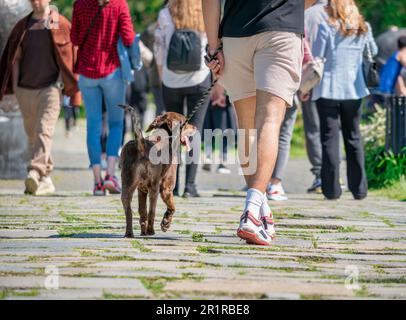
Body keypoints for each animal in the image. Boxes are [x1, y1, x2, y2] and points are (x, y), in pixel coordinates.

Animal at [119, 106, 197, 239]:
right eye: (186, 122)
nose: (195, 127)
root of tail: (141, 146)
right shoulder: (166, 188)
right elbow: (172, 207)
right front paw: (165, 223)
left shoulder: (141, 190)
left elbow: (142, 212)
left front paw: (143, 231)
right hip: (154, 189)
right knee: (152, 211)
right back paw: (151, 231)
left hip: (127, 186)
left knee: (130, 211)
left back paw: (130, 234)